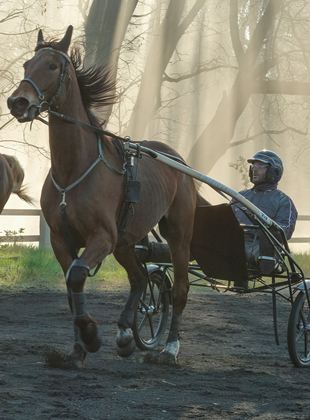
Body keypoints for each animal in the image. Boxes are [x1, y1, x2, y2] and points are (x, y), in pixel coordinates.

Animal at [7, 27, 199, 368]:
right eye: (27, 64)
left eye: (52, 66)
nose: (17, 101)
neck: (73, 169)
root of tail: (177, 160)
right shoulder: (62, 240)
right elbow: (72, 287)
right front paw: (77, 349)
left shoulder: (102, 237)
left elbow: (77, 277)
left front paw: (92, 336)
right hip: (125, 240)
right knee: (138, 278)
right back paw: (125, 334)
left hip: (177, 232)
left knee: (179, 288)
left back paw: (170, 348)